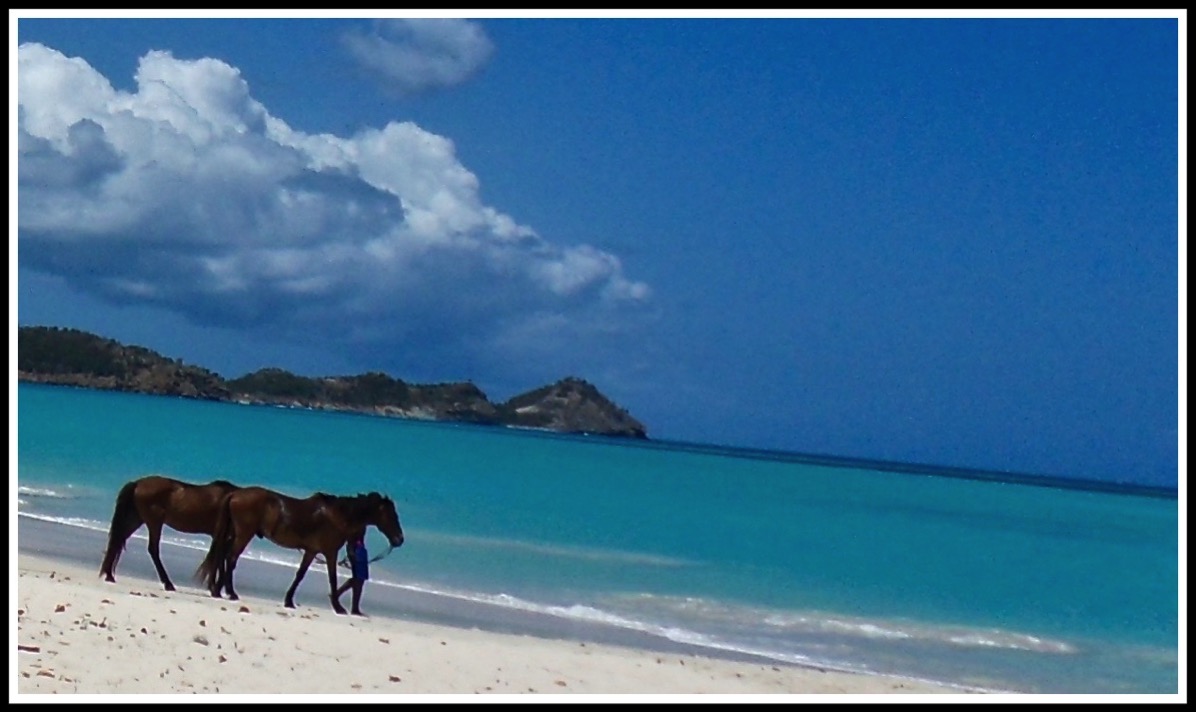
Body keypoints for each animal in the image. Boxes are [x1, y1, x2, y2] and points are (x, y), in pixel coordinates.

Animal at [99, 475, 241, 591]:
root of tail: (137, 483)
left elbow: (221, 560)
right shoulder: (224, 536)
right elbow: (221, 560)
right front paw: (218, 588)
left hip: (137, 519)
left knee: (118, 540)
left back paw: (109, 575)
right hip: (154, 522)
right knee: (153, 549)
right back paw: (168, 583)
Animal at [195, 487, 404, 614]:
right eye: (391, 515)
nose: (399, 539)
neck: (336, 516)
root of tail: (236, 494)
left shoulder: (311, 552)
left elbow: (300, 575)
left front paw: (289, 601)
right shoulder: (330, 553)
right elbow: (333, 578)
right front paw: (338, 607)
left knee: (224, 557)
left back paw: (218, 590)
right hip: (244, 534)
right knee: (231, 559)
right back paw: (230, 592)